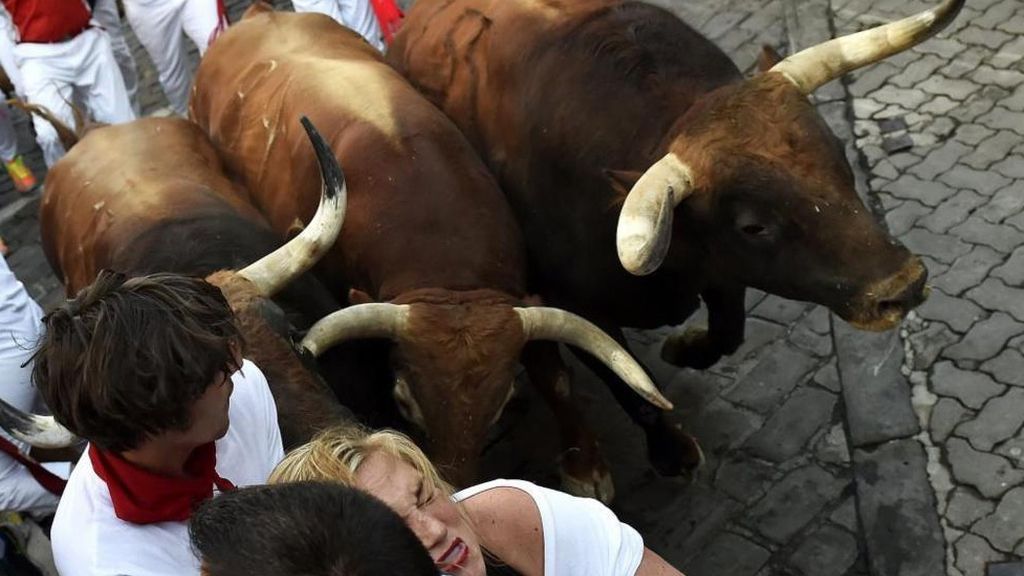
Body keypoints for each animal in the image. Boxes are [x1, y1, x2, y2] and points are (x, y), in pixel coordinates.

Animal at [189, 4, 675, 496]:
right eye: (406, 403)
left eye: (499, 405)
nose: (452, 486)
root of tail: (256, 16)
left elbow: (553, 376)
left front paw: (586, 466)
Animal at [389, 0, 958, 475]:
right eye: (753, 225)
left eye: (840, 156)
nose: (904, 285)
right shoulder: (572, 305)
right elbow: (632, 386)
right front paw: (670, 451)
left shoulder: (720, 268)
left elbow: (728, 333)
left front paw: (685, 349)